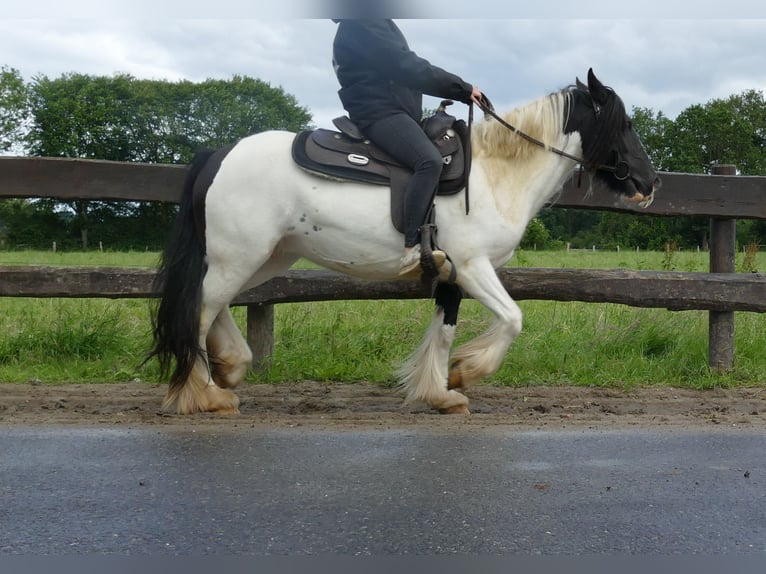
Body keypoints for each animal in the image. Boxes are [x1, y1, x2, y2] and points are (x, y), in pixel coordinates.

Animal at [148, 70, 660, 416]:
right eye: (625, 124)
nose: (649, 182)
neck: (495, 174)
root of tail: (220, 154)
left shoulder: (453, 274)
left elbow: (445, 328)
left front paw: (440, 392)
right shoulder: (473, 267)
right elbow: (513, 318)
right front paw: (467, 371)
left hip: (264, 258)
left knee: (214, 304)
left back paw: (230, 367)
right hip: (241, 256)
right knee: (200, 310)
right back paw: (204, 394)